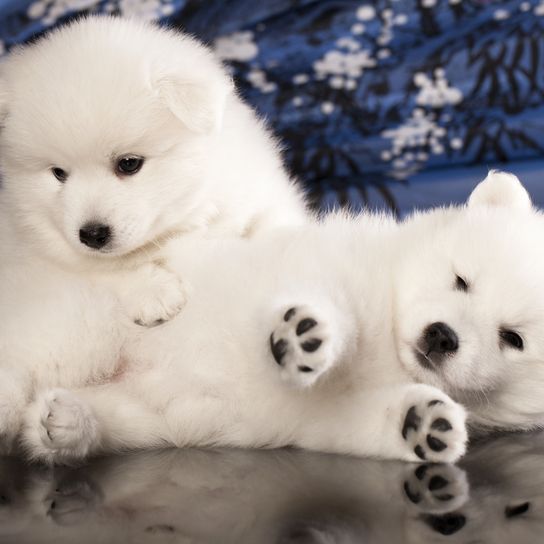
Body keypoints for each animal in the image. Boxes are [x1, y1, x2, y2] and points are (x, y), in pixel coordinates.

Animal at [15, 172, 544, 466]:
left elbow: (363, 421)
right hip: (81, 328)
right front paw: (306, 338)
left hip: (137, 413)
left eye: (512, 338)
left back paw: (67, 422)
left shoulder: (322, 417)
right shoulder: (328, 268)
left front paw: (422, 421)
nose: (442, 336)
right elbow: (333, 306)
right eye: (461, 280)